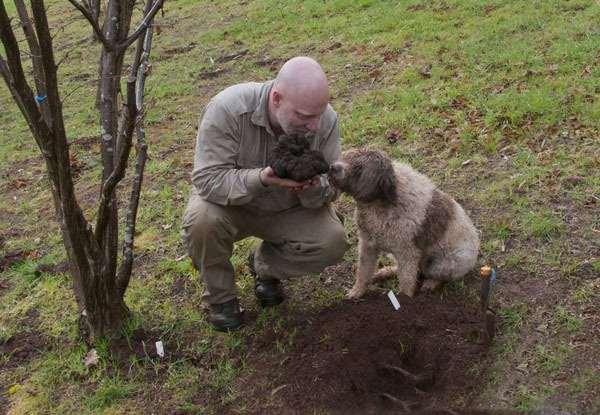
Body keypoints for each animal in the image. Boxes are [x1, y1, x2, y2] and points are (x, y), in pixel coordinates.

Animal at [328, 150, 478, 300]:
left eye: (359, 168)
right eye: (346, 156)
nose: (332, 167)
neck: (382, 202)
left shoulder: (407, 252)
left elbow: (407, 280)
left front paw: (404, 299)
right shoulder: (367, 245)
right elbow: (363, 272)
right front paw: (357, 291)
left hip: (443, 263)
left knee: (436, 275)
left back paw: (430, 283)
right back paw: (385, 272)